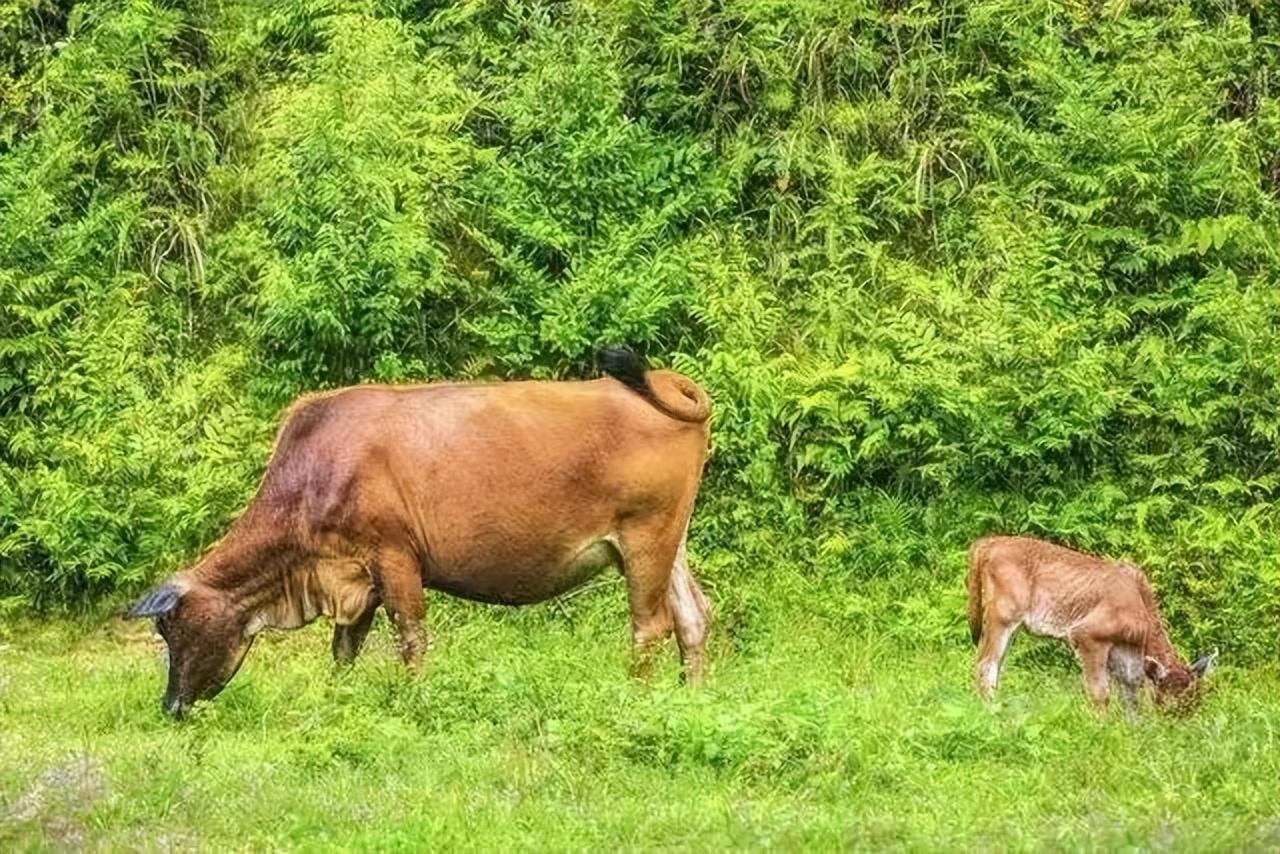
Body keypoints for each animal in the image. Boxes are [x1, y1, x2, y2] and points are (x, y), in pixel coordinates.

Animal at [126, 345, 716, 717]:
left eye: (172, 629)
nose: (170, 706)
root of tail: (665, 380)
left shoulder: (393, 556)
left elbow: (409, 639)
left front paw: (412, 700)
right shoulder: (355, 577)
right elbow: (344, 649)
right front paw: (337, 699)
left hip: (644, 537)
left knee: (650, 625)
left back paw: (637, 699)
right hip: (670, 541)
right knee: (693, 616)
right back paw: (692, 698)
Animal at [962, 535, 1213, 717]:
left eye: (1195, 700)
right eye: (1174, 704)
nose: (1176, 728)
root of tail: (989, 542)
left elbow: (1130, 699)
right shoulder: (1088, 637)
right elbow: (1100, 693)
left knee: (995, 665)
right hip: (1002, 617)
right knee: (985, 664)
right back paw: (990, 710)